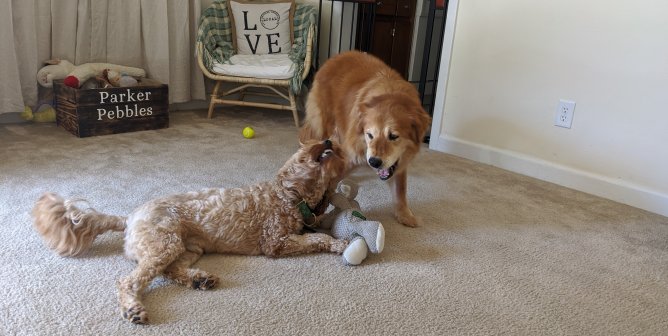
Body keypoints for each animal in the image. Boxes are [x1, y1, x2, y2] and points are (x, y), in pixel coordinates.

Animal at [33, 138, 350, 322]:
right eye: (304, 153)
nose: (328, 138)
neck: (288, 196)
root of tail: (130, 217)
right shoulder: (275, 242)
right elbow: (317, 237)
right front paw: (340, 244)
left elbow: (315, 232)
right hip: (164, 243)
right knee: (130, 281)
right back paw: (133, 308)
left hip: (185, 248)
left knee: (170, 271)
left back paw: (200, 280)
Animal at [300, 50, 430, 227]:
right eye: (370, 135)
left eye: (393, 136)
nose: (374, 162)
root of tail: (336, 56)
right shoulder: (350, 157)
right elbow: (328, 184)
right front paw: (317, 212)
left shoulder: (399, 162)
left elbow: (400, 189)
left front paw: (405, 215)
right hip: (323, 125)